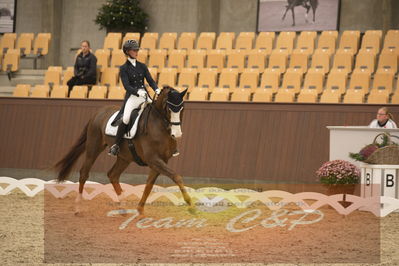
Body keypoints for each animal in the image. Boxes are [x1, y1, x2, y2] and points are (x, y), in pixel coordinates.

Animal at [54, 86, 192, 215]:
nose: (176, 134)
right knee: (84, 173)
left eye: (182, 108)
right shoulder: (154, 160)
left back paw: (123, 207)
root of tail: (98, 113)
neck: (159, 126)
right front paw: (189, 203)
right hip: (93, 147)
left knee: (113, 175)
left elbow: (149, 185)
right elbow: (176, 176)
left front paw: (140, 210)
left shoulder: (161, 161)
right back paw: (78, 207)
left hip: (125, 157)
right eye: (168, 108)